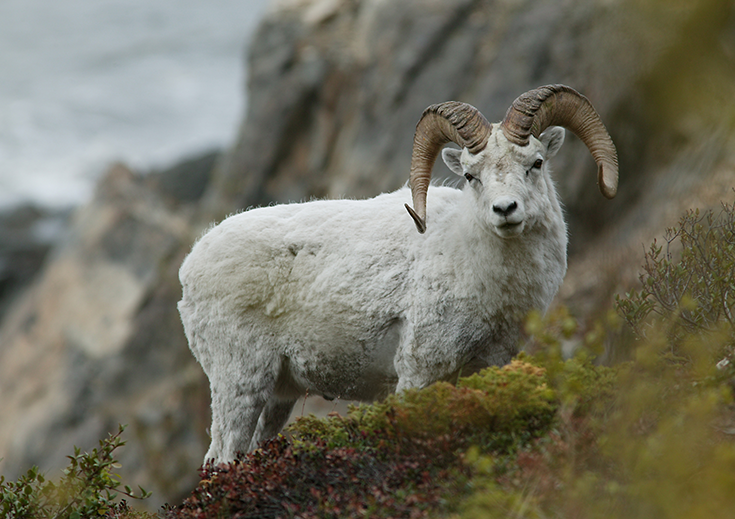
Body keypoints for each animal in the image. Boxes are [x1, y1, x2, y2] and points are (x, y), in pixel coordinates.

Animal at [181, 84, 620, 464]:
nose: (505, 210)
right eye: (470, 175)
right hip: (239, 382)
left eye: (536, 163)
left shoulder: (486, 368)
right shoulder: (419, 373)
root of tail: (191, 268)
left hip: (277, 397)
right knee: (221, 457)